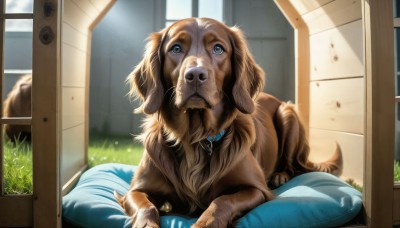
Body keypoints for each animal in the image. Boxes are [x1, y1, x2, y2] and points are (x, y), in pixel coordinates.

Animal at [119, 18, 340, 228]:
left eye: (218, 48)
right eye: (176, 48)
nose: (195, 75)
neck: (195, 137)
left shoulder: (256, 189)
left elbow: (221, 202)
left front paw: (203, 223)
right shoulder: (135, 191)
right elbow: (146, 208)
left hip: (288, 114)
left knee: (294, 165)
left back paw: (281, 175)